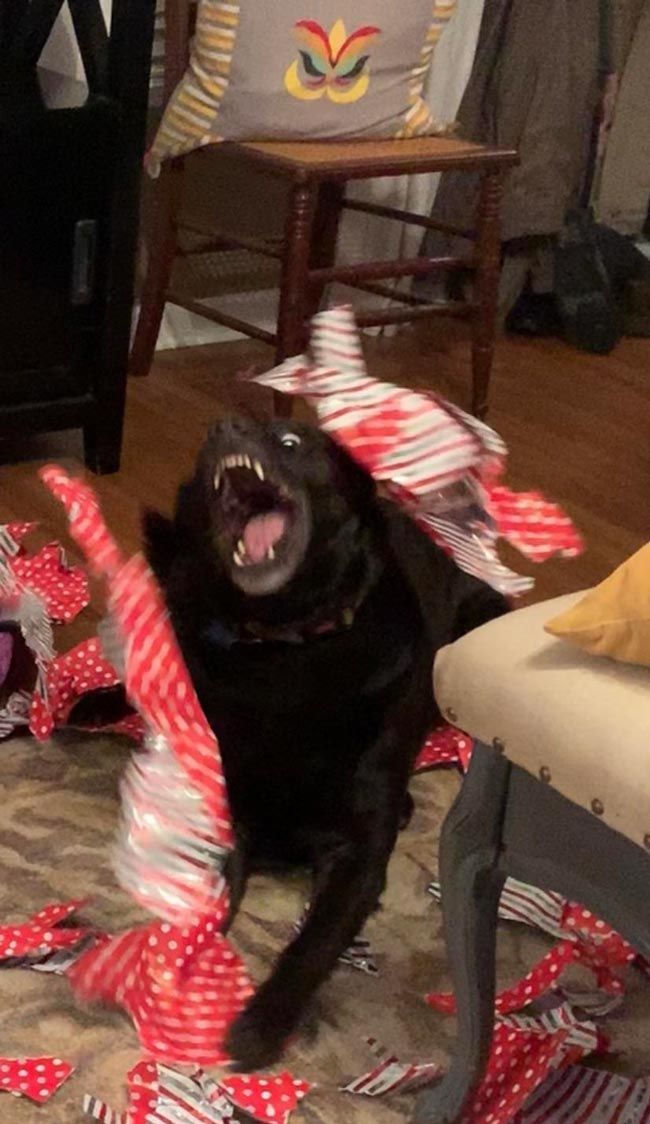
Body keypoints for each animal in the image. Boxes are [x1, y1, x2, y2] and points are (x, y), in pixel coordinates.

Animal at [71, 418, 506, 1065]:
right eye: (209, 445)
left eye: (293, 443)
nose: (223, 426)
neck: (284, 648)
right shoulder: (224, 811)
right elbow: (209, 898)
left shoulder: (358, 857)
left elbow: (314, 942)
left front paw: (261, 1022)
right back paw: (95, 703)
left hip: (480, 625)